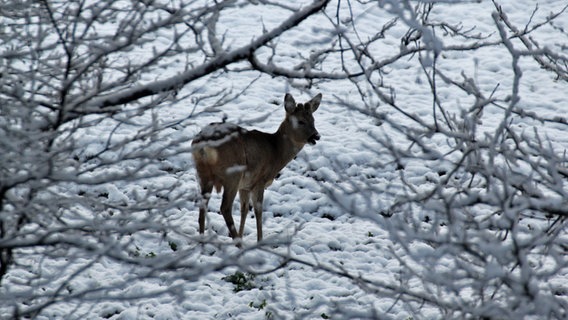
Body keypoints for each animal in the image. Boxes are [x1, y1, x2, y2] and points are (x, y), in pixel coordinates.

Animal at [193, 92, 322, 242]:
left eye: (313, 120)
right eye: (301, 121)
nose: (316, 136)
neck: (276, 152)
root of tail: (204, 144)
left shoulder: (245, 186)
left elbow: (244, 210)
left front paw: (242, 235)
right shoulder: (260, 180)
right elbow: (258, 210)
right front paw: (259, 240)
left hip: (203, 173)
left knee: (203, 205)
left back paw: (203, 240)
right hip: (232, 174)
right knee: (225, 207)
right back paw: (237, 242)